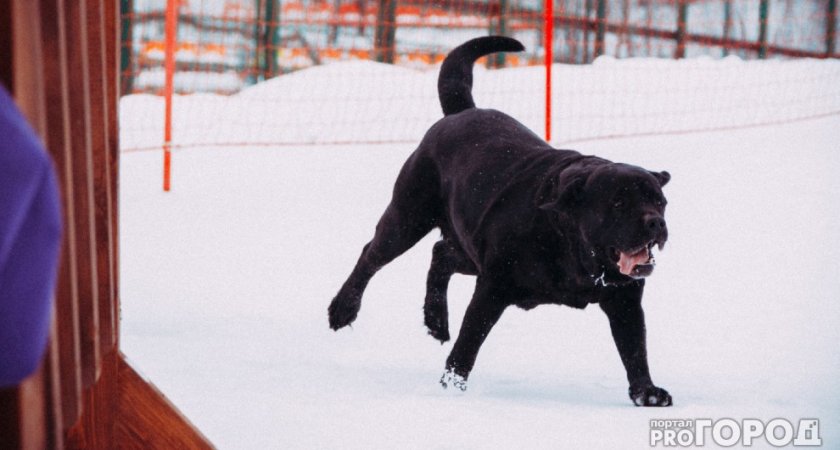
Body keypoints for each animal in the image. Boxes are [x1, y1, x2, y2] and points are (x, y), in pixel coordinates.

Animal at [332, 36, 672, 408]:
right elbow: (468, 342)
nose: (655, 223)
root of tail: (460, 111)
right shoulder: (493, 287)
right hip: (408, 218)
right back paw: (342, 310)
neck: (569, 243)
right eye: (619, 202)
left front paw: (647, 393)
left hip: (469, 249)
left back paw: (436, 321)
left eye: (659, 201)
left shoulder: (625, 301)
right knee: (371, 256)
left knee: (439, 253)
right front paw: (451, 386)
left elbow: (634, 349)